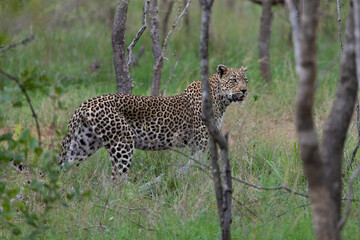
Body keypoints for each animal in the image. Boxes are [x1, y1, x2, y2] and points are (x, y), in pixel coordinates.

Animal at [58, 64, 248, 179]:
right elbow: (197, 166)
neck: (220, 100)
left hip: (83, 144)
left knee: (63, 168)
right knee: (117, 178)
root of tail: (85, 104)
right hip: (123, 143)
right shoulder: (200, 143)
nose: (245, 90)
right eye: (233, 80)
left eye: (245, 80)